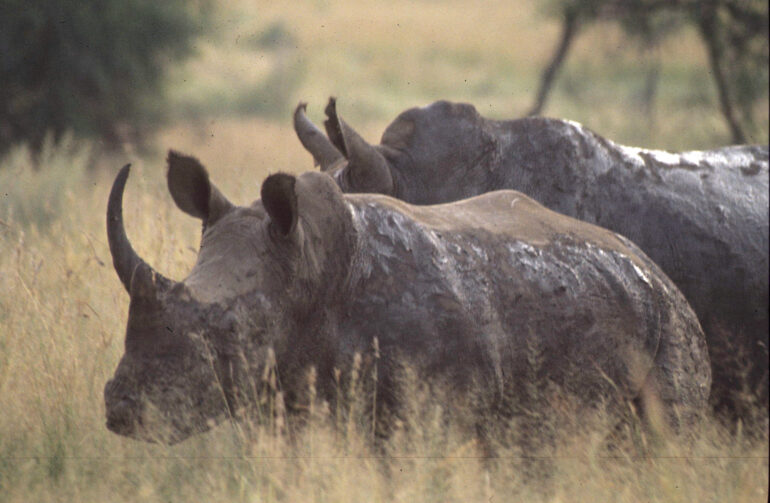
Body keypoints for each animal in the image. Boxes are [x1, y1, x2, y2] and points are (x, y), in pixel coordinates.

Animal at [104, 152, 710, 444]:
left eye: (231, 331)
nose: (123, 410)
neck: (312, 270)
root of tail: (660, 273)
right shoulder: (284, 397)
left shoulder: (437, 404)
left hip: (672, 326)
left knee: (665, 434)